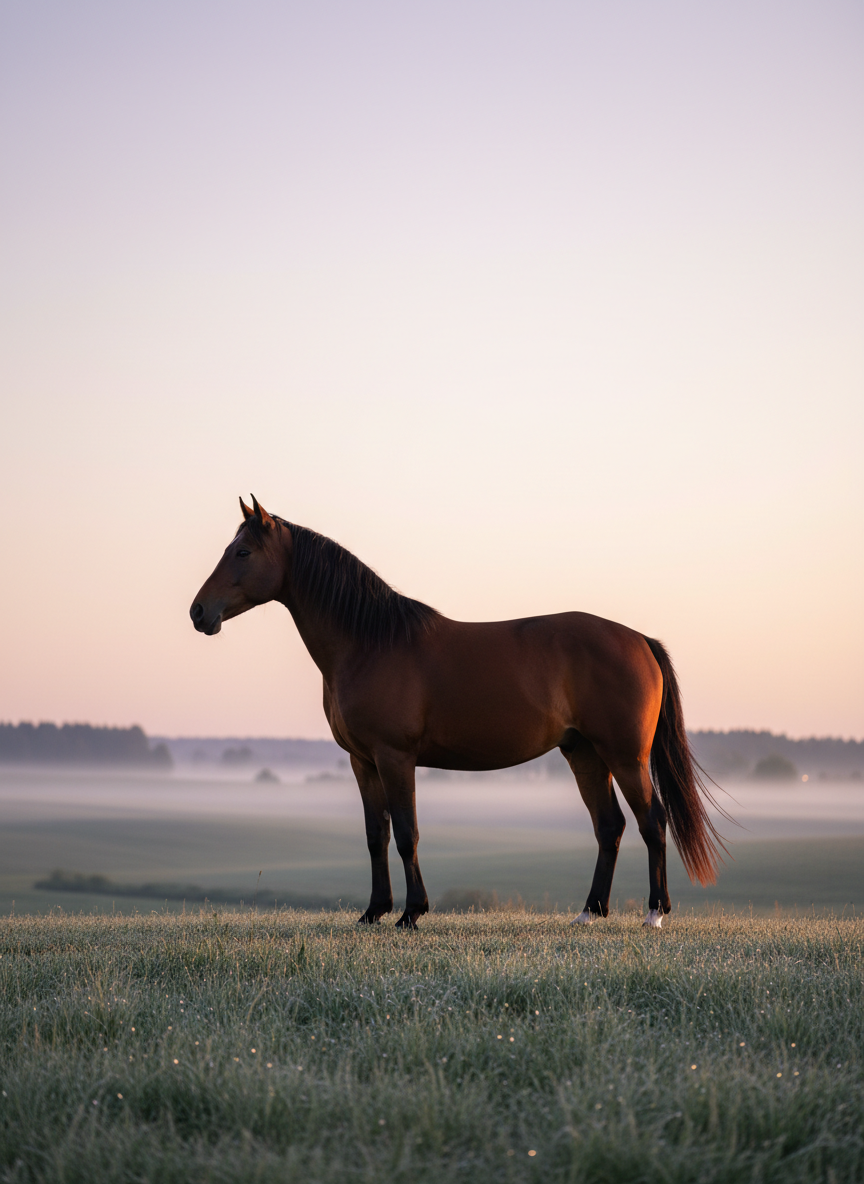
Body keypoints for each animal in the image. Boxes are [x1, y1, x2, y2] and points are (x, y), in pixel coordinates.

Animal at [190, 496, 725, 929]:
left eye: (242, 552)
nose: (199, 613)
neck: (369, 642)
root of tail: (639, 639)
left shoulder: (395, 757)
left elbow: (406, 834)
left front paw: (411, 913)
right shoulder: (362, 762)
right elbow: (375, 835)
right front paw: (373, 912)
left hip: (625, 756)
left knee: (652, 821)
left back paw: (654, 913)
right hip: (584, 754)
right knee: (609, 826)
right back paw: (589, 913)